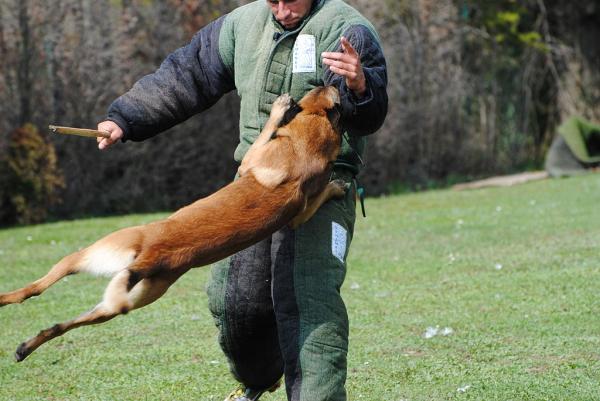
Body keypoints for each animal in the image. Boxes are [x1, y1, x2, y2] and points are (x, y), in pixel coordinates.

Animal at [0, 86, 346, 360]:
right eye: (319, 97)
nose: (330, 82)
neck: (303, 153)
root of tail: (150, 256)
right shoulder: (296, 207)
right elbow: (310, 199)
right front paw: (335, 185)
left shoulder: (254, 162)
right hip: (119, 298)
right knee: (58, 318)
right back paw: (25, 347)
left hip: (95, 254)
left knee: (34, 290)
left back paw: (10, 313)